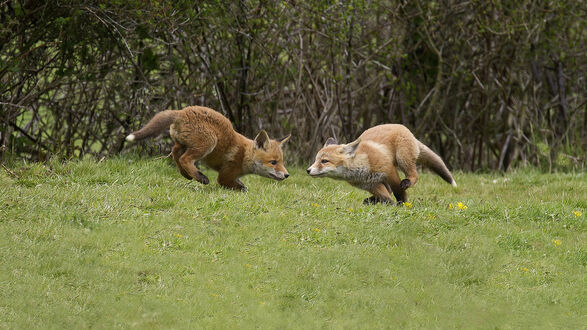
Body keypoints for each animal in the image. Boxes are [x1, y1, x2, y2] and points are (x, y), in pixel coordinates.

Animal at [125, 104, 290, 189]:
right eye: (273, 162)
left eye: (282, 162)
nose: (287, 175)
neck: (244, 155)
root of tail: (181, 111)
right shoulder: (225, 176)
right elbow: (238, 186)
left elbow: (240, 183)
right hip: (208, 143)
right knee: (185, 159)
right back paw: (200, 177)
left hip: (183, 143)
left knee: (175, 152)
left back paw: (186, 174)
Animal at [308, 124, 460, 205]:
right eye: (316, 160)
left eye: (324, 161)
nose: (308, 170)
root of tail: (404, 128)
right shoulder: (371, 184)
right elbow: (386, 197)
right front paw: (389, 204)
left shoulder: (389, 172)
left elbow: (399, 192)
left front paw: (402, 205)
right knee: (387, 191)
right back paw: (371, 200)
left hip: (403, 159)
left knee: (414, 175)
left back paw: (407, 182)